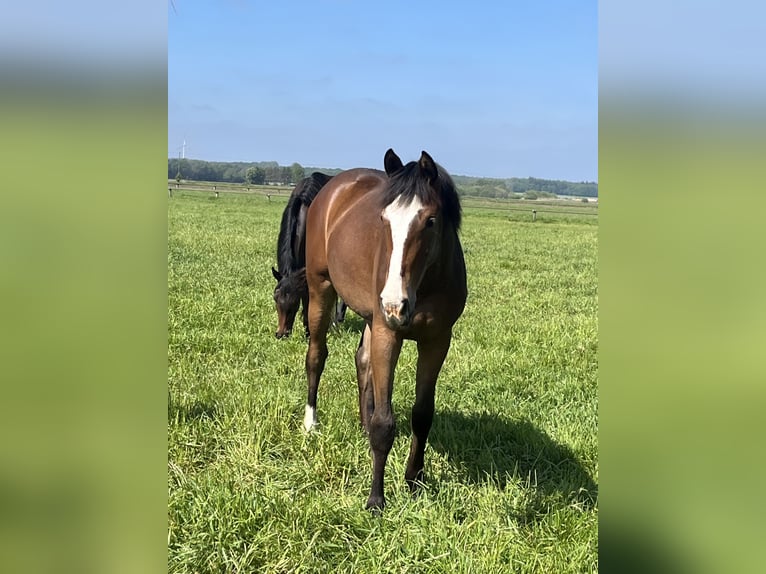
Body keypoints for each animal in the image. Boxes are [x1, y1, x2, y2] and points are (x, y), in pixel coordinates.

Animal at [303, 149, 466, 510]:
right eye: (384, 220)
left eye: (430, 221)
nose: (394, 304)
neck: (425, 285)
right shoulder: (387, 334)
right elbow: (384, 422)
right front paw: (376, 499)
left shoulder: (437, 341)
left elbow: (422, 414)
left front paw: (414, 480)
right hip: (321, 289)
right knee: (316, 356)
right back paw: (309, 423)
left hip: (369, 316)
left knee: (362, 361)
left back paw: (361, 425)